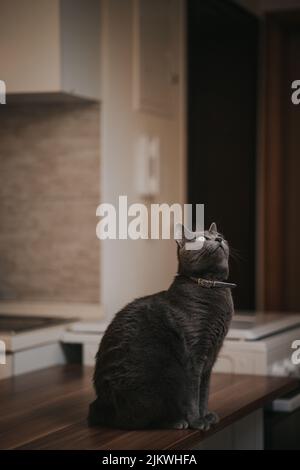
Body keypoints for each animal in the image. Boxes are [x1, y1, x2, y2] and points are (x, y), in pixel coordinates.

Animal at [88, 222, 236, 432]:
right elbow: (193, 395)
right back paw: (177, 421)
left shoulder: (210, 359)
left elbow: (204, 393)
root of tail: (101, 404)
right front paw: (197, 421)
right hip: (166, 377)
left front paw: (206, 415)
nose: (219, 239)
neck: (212, 288)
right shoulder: (194, 356)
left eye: (220, 235)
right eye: (201, 238)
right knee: (136, 420)